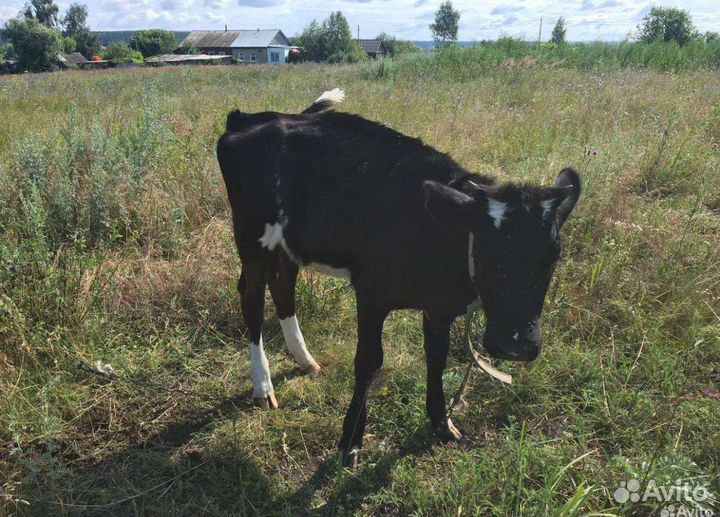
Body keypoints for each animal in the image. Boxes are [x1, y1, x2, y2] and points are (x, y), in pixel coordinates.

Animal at [216, 88, 581, 464]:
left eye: (553, 258)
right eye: (486, 252)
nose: (515, 345)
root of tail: (253, 117)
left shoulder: (439, 308)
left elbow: (437, 356)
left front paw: (441, 423)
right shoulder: (371, 292)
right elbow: (369, 360)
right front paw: (350, 441)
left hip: (290, 242)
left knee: (282, 284)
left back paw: (305, 360)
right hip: (251, 234)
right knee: (252, 296)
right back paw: (263, 386)